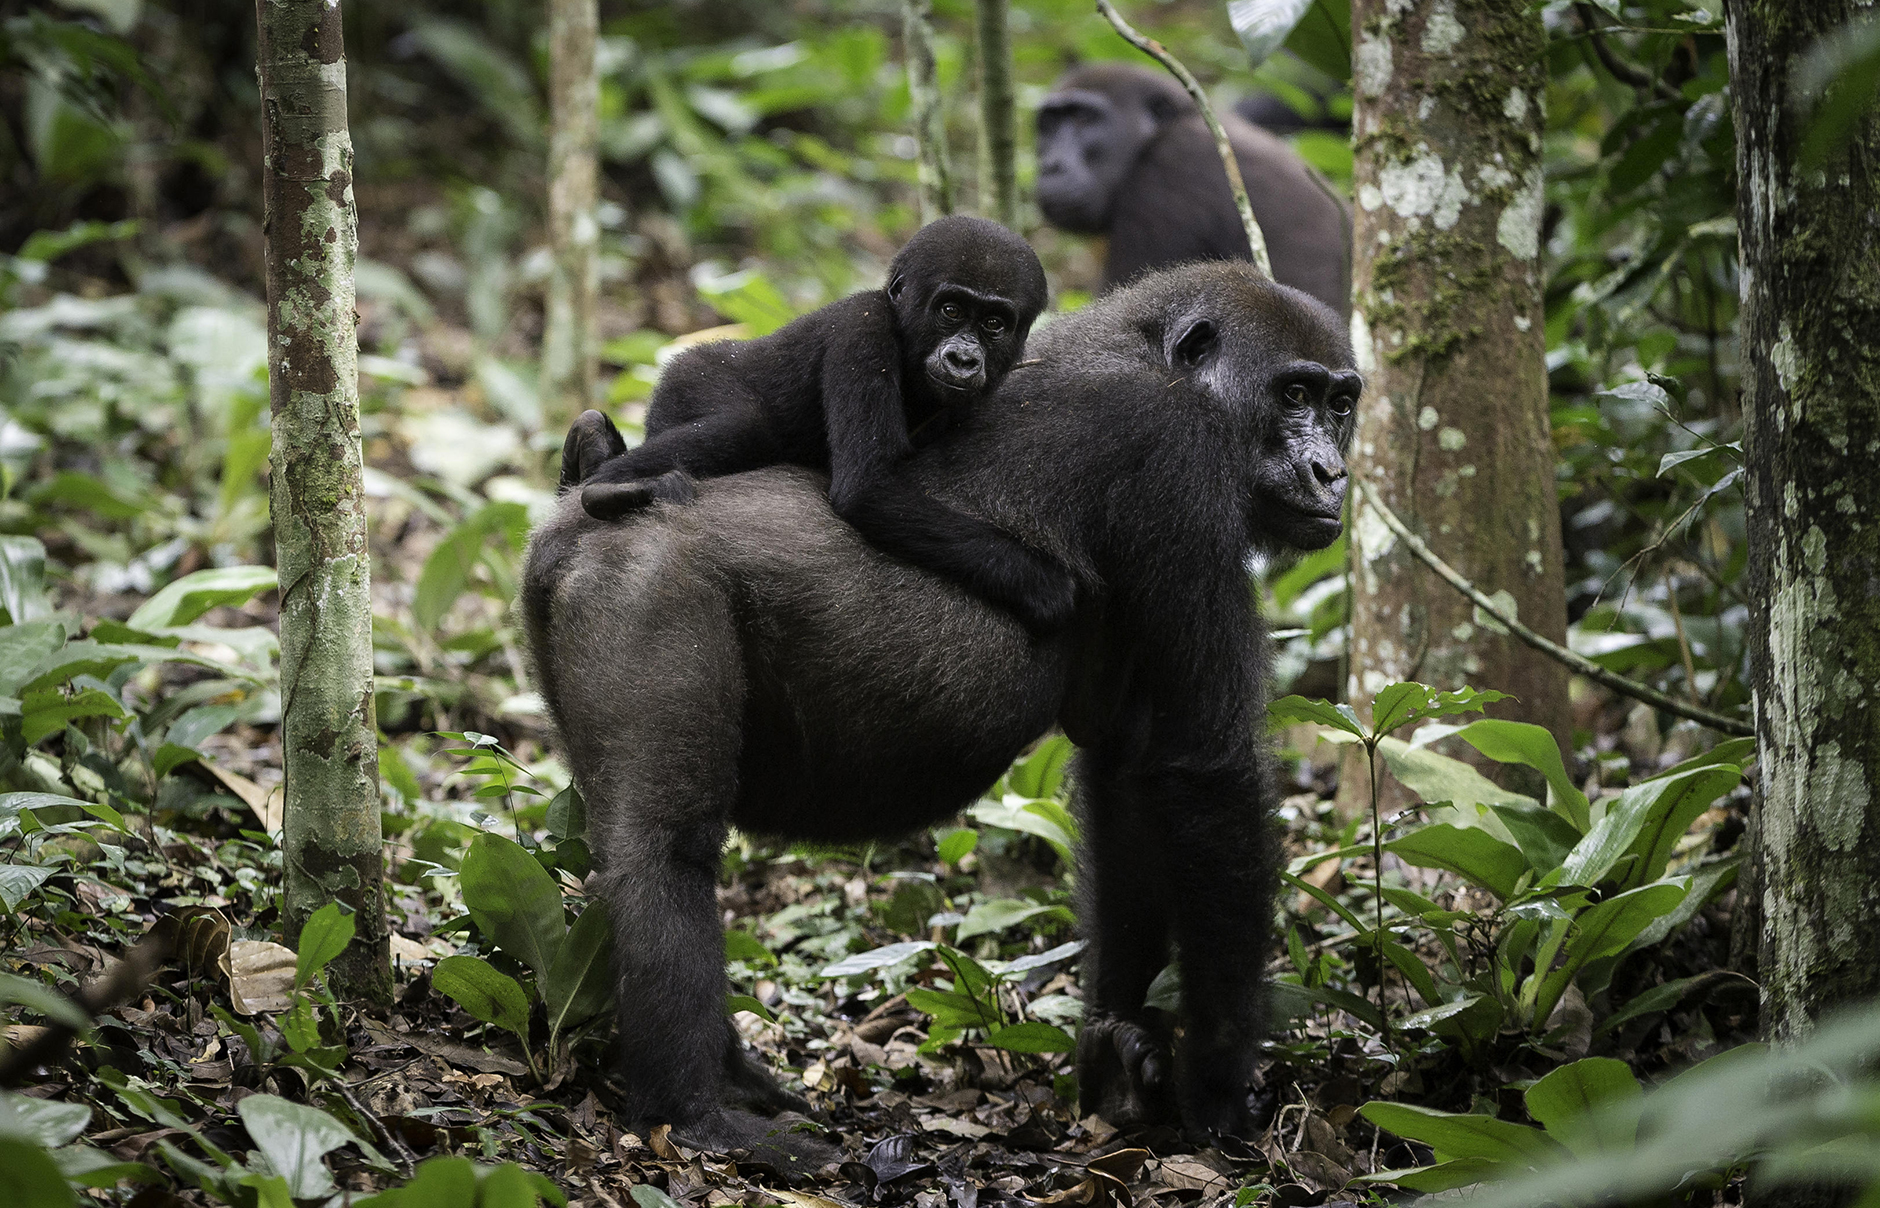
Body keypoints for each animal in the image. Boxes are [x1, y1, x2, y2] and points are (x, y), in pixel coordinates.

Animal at [522, 263, 1361, 1172]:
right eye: (1294, 394)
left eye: (1342, 404)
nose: (1332, 474)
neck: (1151, 351)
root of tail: (571, 517)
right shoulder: (1179, 459)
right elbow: (1206, 774)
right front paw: (1216, 1088)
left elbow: (1128, 774)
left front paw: (1117, 1049)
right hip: (647, 584)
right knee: (664, 851)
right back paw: (694, 1114)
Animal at [560, 215, 1075, 634]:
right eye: (950, 310)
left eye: (994, 323)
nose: (964, 359)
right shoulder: (862, 330)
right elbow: (867, 489)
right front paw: (1041, 583)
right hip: (691, 378)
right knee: (745, 424)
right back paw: (607, 485)